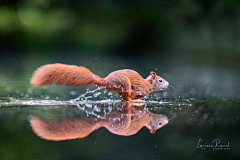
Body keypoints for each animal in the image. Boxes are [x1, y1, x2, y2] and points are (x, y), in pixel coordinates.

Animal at [30, 62, 169, 101]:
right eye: (160, 80)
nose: (168, 84)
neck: (147, 85)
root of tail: (106, 81)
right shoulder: (138, 89)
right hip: (124, 83)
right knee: (127, 98)